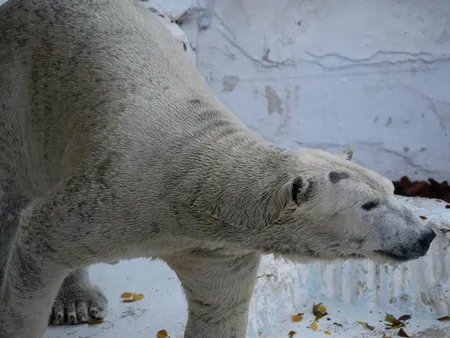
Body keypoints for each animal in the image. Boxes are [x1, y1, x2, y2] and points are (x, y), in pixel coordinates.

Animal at [0, 0, 438, 338]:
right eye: (368, 205)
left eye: (391, 189)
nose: (426, 235)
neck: (188, 183)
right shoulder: (116, 198)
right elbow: (39, 245)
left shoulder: (219, 250)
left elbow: (220, 308)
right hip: (20, 89)